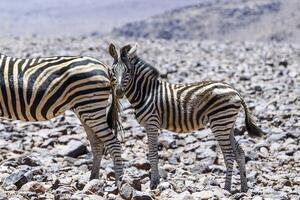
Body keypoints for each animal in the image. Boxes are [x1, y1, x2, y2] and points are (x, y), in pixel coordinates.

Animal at [0, 52, 123, 184]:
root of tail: (105, 67)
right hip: (86, 109)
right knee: (98, 143)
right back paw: (93, 180)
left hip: (91, 106)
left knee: (113, 143)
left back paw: (119, 183)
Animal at [108, 43, 264, 192]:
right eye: (113, 71)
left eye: (128, 71)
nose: (119, 92)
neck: (146, 93)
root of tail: (236, 91)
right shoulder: (151, 125)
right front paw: (155, 181)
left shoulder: (152, 123)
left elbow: (152, 154)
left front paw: (153, 183)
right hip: (228, 125)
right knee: (240, 153)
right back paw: (244, 188)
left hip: (220, 123)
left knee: (229, 156)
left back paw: (226, 188)